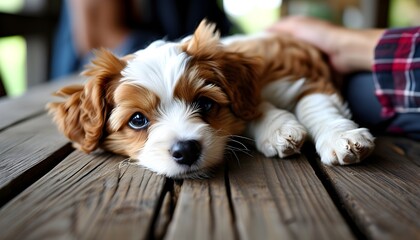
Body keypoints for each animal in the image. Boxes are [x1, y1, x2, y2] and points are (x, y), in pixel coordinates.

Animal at [48, 19, 374, 177]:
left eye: (204, 104)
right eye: (137, 120)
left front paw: (341, 138)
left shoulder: (305, 72)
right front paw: (279, 128)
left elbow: (315, 104)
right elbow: (255, 109)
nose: (186, 150)